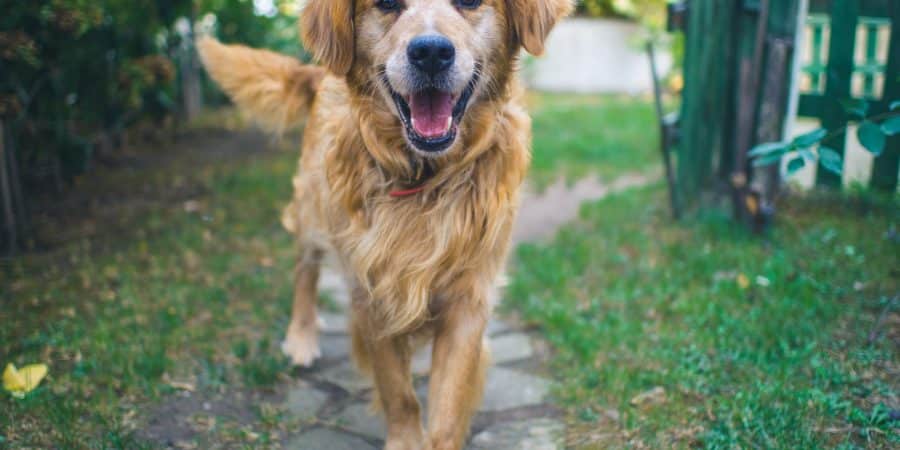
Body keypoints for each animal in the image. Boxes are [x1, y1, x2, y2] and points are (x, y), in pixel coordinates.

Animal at [200, 1, 572, 448]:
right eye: (388, 5)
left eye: (469, 3)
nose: (431, 53)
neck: (427, 177)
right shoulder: (373, 290)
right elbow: (398, 392)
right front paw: (406, 438)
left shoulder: (469, 298)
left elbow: (448, 405)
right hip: (312, 208)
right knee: (305, 269)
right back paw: (302, 336)